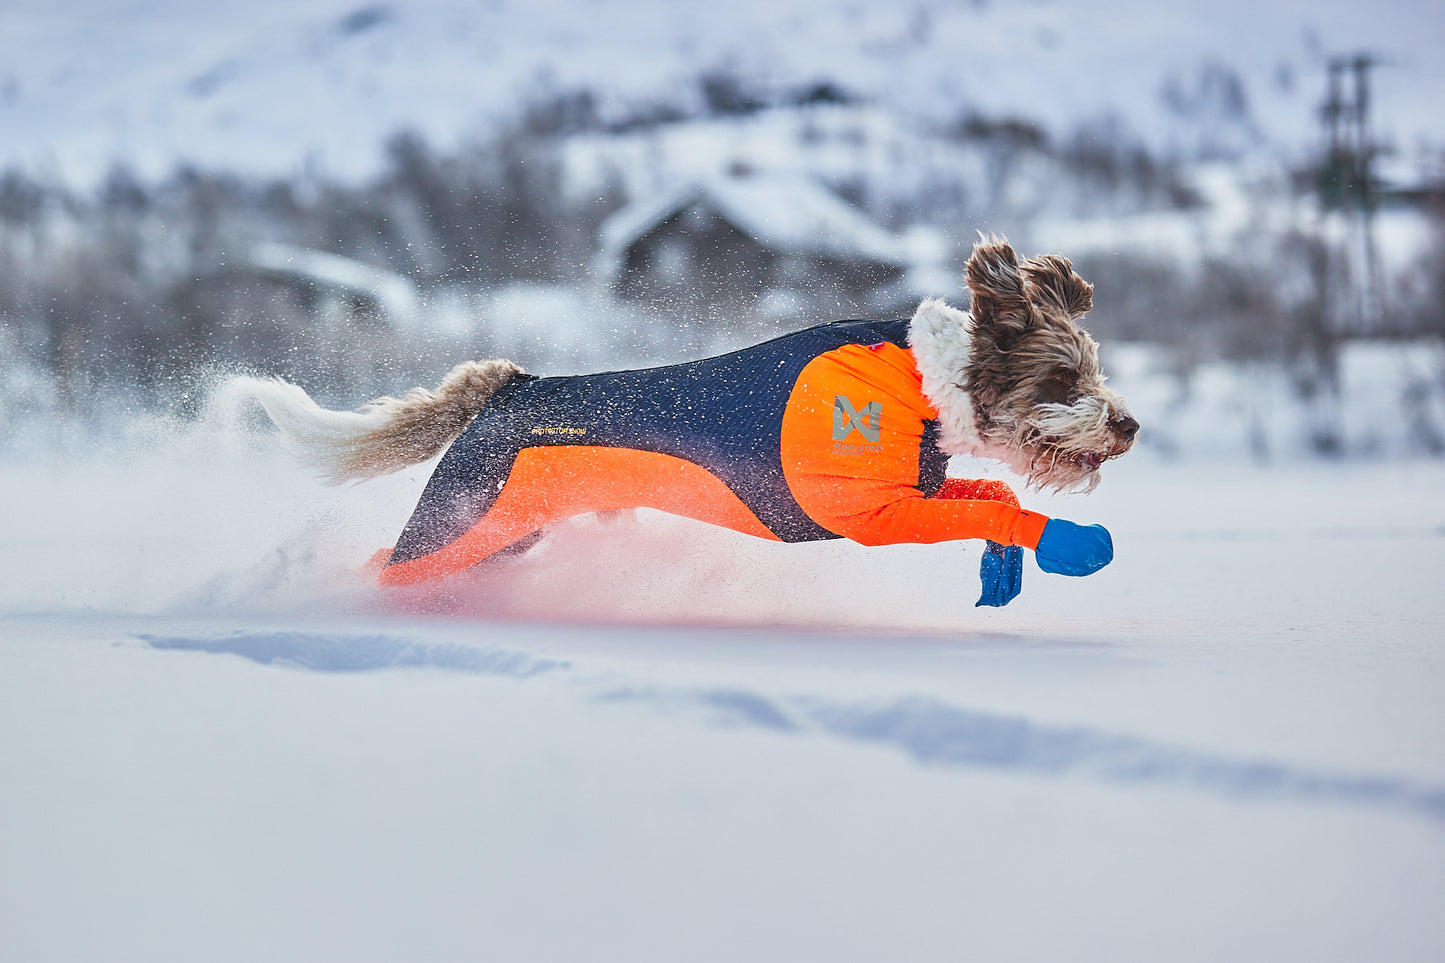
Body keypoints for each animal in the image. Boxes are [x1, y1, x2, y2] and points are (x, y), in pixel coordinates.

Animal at [234, 235, 1138, 601]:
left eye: (1091, 365)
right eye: (1062, 374)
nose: (1127, 425)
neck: (923, 387)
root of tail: (513, 385)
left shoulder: (910, 492)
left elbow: (992, 497)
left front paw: (1008, 565)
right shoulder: (869, 514)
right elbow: (1002, 508)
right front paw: (1071, 544)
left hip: (507, 527)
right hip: (465, 517)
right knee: (386, 564)